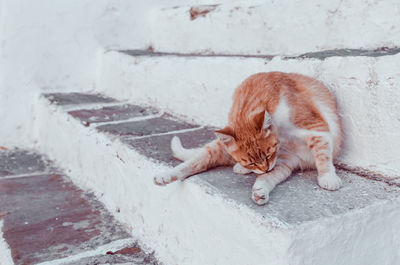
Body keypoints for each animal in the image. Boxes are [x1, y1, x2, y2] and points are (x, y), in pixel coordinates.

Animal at [155, 71, 342, 204]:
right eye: (251, 162)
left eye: (269, 154)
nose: (264, 168)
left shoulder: (317, 129)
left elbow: (323, 157)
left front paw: (327, 178)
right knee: (195, 162)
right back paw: (165, 176)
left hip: (285, 161)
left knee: (267, 177)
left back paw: (258, 188)